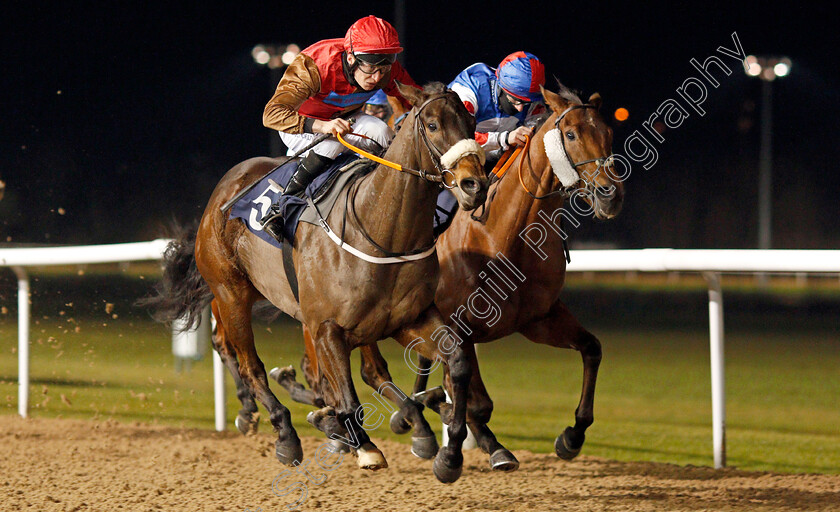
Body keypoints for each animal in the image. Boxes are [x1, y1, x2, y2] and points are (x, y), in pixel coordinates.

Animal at [142, 82, 488, 482]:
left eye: (471, 123)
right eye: (432, 125)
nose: (474, 185)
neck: (379, 229)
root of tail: (223, 190)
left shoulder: (407, 319)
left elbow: (456, 360)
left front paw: (450, 453)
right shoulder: (326, 328)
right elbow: (346, 394)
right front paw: (364, 445)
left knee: (229, 345)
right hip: (231, 293)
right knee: (249, 364)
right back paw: (285, 434)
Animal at [276, 83, 624, 472]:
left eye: (608, 133)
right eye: (571, 134)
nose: (611, 196)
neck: (503, 236)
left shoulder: (539, 318)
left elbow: (592, 349)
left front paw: (571, 436)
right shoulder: (459, 323)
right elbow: (477, 401)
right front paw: (477, 443)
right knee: (349, 370)